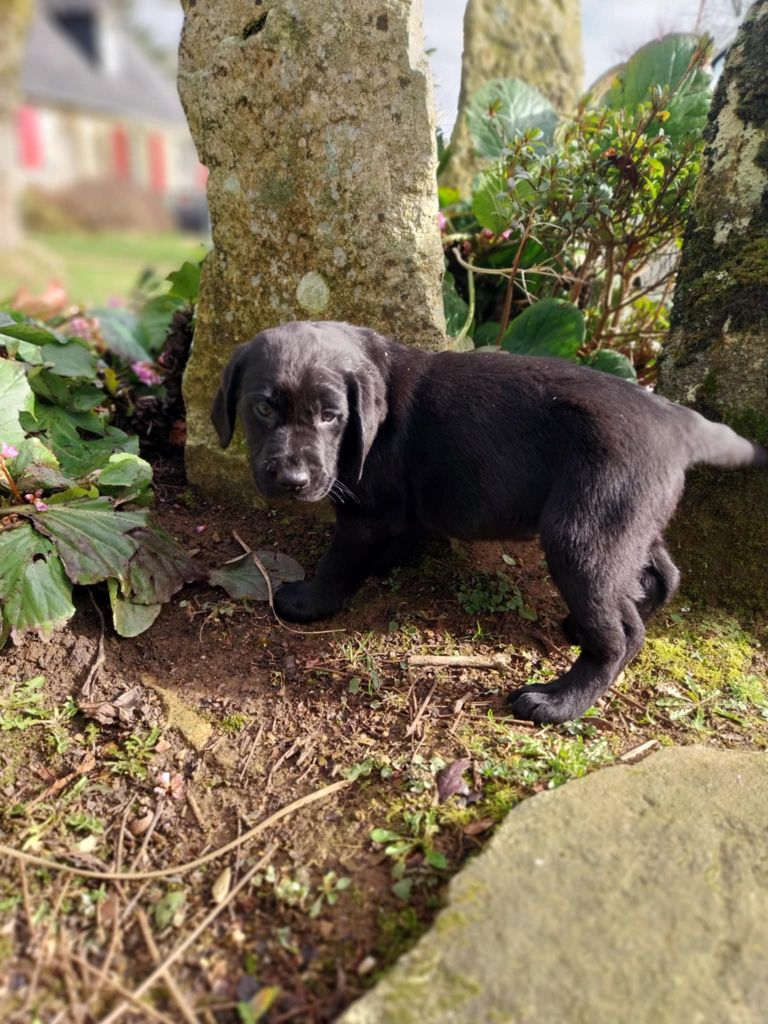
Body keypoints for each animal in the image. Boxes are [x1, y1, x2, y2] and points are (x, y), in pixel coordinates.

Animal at [211, 323, 768, 724]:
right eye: (263, 408)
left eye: (330, 416)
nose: (292, 479)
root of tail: (675, 418)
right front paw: (388, 563)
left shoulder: (364, 515)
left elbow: (338, 561)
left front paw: (310, 600)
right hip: (628, 520)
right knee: (660, 577)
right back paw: (584, 624)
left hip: (582, 533)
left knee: (623, 635)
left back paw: (559, 701)